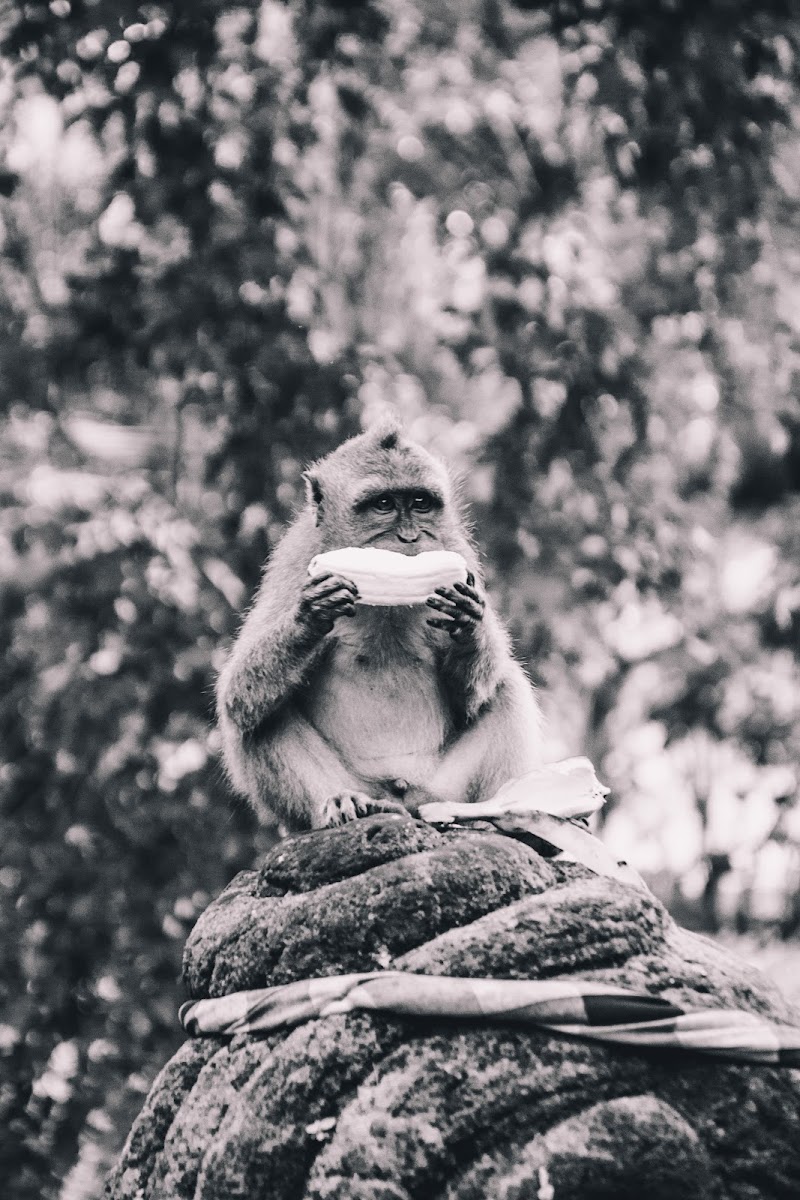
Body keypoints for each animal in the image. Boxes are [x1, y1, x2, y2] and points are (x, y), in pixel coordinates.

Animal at [215, 424, 544, 835]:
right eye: (383, 504)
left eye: (420, 502)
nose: (409, 538)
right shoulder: (296, 561)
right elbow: (237, 693)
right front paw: (312, 615)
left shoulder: (458, 554)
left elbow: (470, 699)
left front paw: (467, 622)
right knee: (255, 716)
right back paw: (340, 803)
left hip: (444, 790)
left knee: (506, 687)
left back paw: (491, 817)